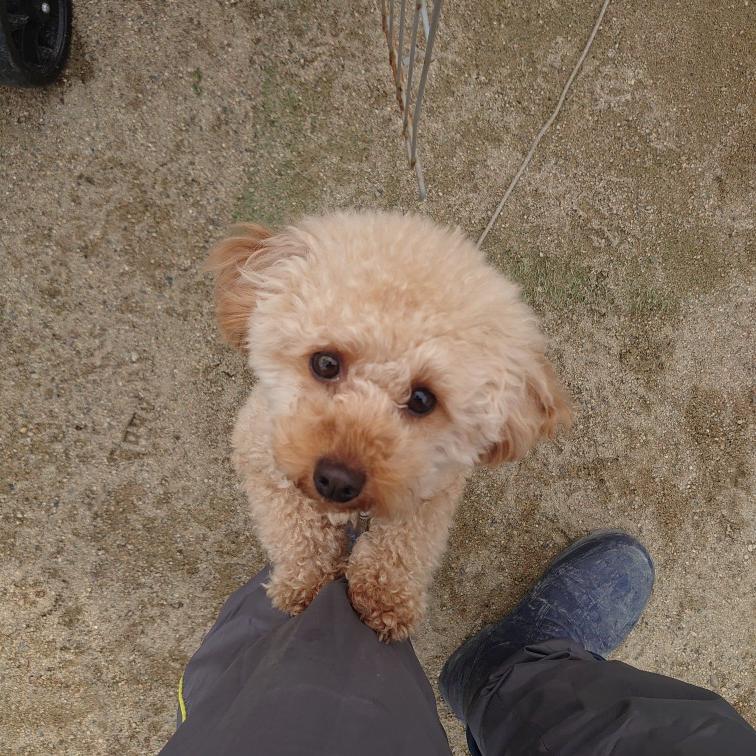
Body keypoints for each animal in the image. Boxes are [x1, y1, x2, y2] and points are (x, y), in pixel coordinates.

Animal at [207, 210, 571, 642]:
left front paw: (383, 599)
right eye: (325, 362)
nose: (337, 481)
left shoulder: (432, 488)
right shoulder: (259, 457)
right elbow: (295, 532)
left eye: (422, 399)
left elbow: (403, 544)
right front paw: (306, 587)